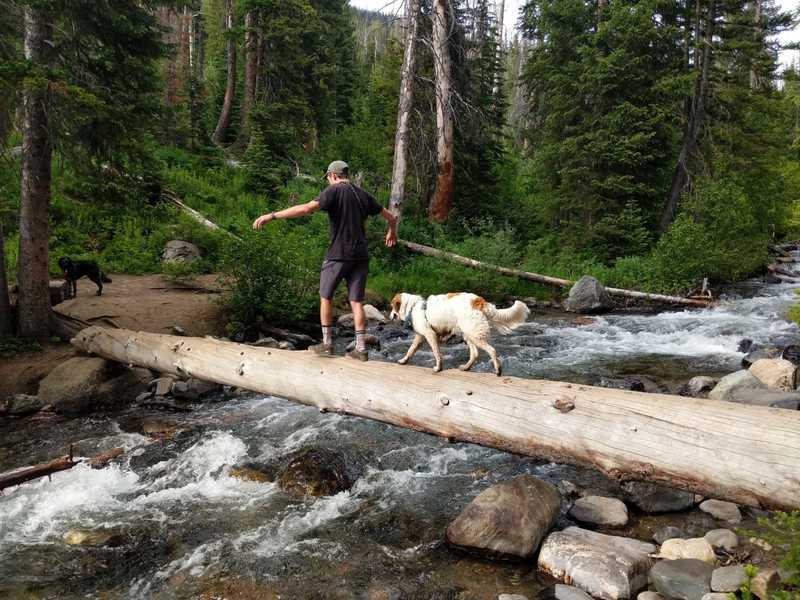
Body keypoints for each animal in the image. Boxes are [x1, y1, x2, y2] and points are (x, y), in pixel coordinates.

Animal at [390, 292, 532, 376]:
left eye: (391, 307)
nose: (390, 316)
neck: (413, 307)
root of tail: (478, 300)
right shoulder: (420, 337)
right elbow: (410, 350)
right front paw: (403, 361)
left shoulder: (430, 334)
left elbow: (436, 353)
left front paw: (438, 368)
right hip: (468, 334)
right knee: (475, 354)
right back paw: (466, 368)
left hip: (474, 334)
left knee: (492, 350)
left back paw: (498, 370)